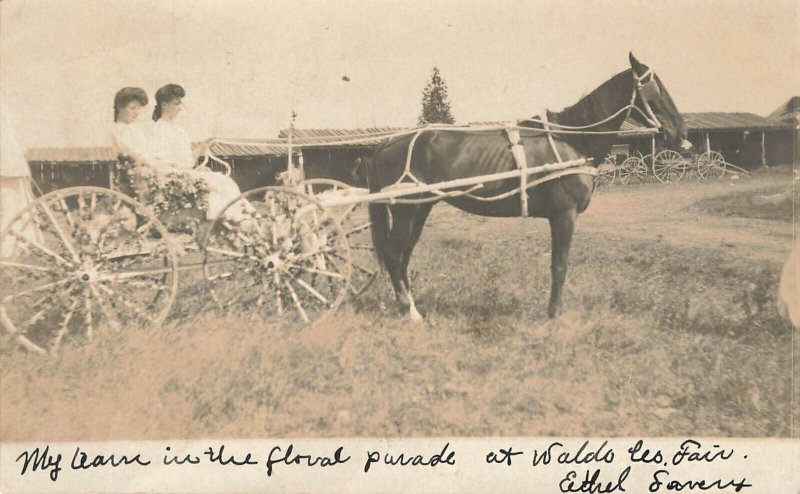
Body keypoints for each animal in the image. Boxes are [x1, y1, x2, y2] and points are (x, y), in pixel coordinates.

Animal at [368, 54, 688, 322]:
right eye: (654, 89)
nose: (681, 134)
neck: (569, 140)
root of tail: (387, 143)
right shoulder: (564, 215)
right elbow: (559, 266)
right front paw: (554, 315)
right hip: (407, 211)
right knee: (394, 256)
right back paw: (410, 311)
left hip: (419, 210)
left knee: (403, 257)